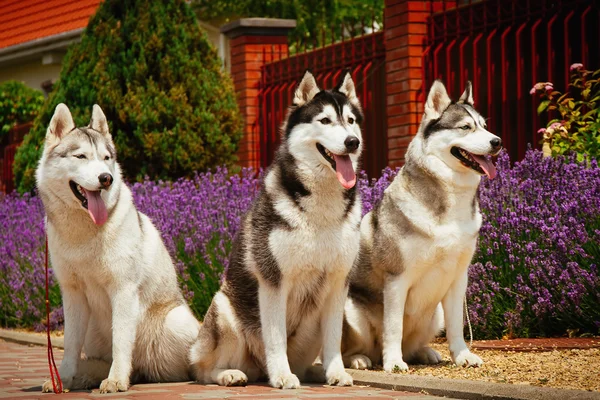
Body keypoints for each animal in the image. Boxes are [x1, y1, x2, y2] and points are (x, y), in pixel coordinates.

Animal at [36, 104, 200, 394]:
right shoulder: (72, 294)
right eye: (81, 156)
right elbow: (70, 346)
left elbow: (121, 341)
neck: (85, 232)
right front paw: (63, 379)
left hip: (175, 322)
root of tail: (143, 370)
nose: (106, 178)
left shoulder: (123, 290)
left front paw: (115, 380)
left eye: (105, 157)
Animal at [190, 70, 364, 390]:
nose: (352, 142)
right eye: (324, 120)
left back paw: (315, 372)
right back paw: (230, 374)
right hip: (224, 311)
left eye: (350, 120)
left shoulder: (338, 283)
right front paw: (282, 375)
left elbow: (334, 339)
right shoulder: (273, 282)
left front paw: (336, 372)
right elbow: (276, 338)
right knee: (203, 370)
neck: (320, 209)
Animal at [342, 80, 502, 372]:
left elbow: (456, 326)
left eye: (484, 125)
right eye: (466, 127)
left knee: (413, 344)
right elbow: (393, 327)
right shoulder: (397, 279)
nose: (497, 142)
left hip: (434, 313)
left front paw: (462, 356)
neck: (451, 200)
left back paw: (423, 353)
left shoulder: (458, 279)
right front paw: (393, 363)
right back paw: (361, 359)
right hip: (349, 308)